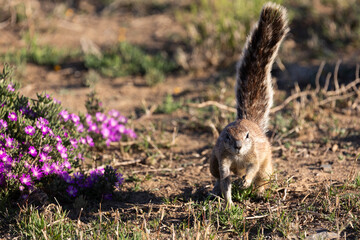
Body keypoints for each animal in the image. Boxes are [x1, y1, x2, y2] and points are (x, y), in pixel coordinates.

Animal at [208, 2, 290, 206]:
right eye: (226, 136)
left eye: (247, 136)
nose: (238, 146)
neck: (238, 156)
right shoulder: (223, 160)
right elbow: (225, 180)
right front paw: (229, 204)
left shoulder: (255, 156)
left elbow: (252, 169)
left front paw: (245, 183)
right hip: (213, 162)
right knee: (217, 177)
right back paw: (214, 190)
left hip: (267, 166)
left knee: (262, 178)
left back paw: (258, 192)